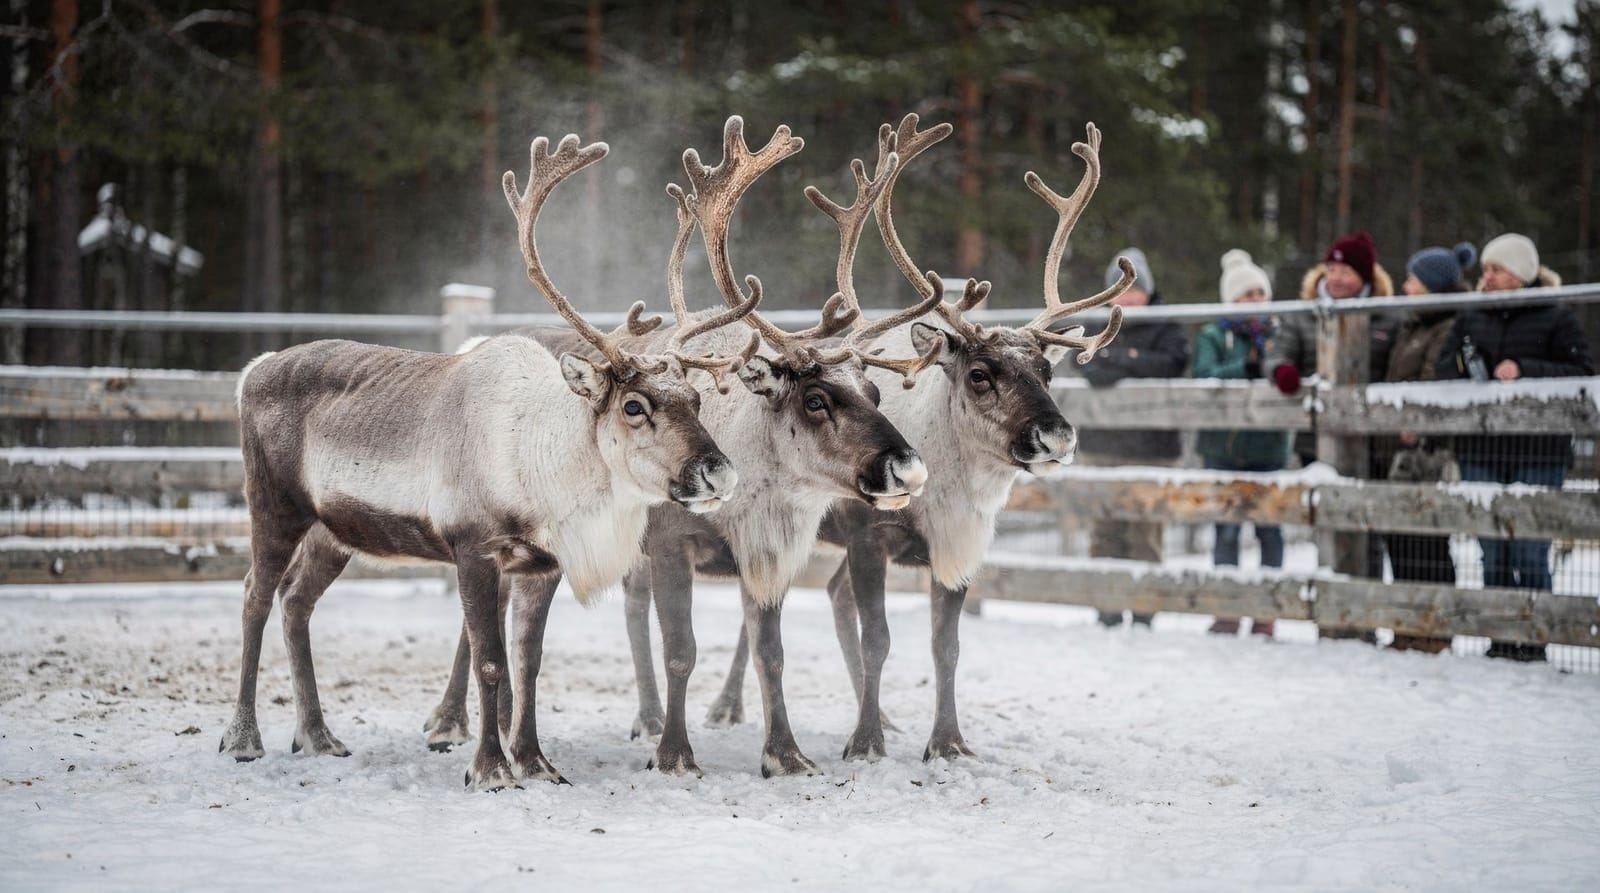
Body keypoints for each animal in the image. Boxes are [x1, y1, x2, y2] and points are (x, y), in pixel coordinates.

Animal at [218, 133, 760, 791]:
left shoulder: (540, 564)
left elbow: (528, 662)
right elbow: (490, 662)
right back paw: (243, 739)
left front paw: (536, 762)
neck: (540, 470)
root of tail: (250, 371)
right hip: (273, 502)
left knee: (297, 600)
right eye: (634, 405)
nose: (717, 471)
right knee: (255, 595)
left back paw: (318, 736)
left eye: (696, 398)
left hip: (334, 530)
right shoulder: (472, 546)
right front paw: (490, 768)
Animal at [423, 116, 943, 778]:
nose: (907, 468)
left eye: (874, 390)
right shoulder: (672, 543)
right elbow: (682, 650)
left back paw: (622, 719)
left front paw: (784, 754)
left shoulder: (761, 552)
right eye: (815, 399)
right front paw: (675, 754)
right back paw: (449, 721)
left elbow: (770, 652)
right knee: (480, 623)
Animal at [687, 115, 1130, 763]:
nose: (1056, 435)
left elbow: (946, 646)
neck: (944, 486)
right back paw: (729, 707)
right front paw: (864, 742)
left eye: (1046, 372)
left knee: (828, 599)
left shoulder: (959, 547)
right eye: (979, 374)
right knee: (777, 609)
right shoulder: (869, 536)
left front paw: (946, 742)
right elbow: (879, 638)